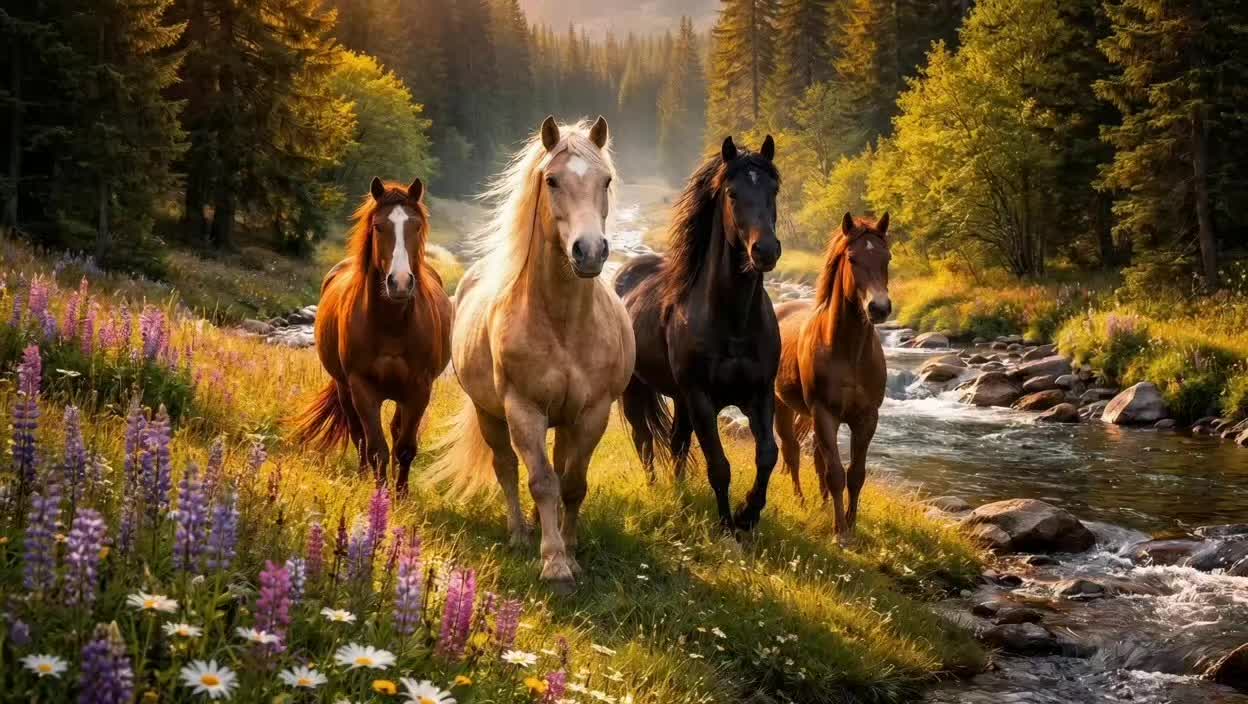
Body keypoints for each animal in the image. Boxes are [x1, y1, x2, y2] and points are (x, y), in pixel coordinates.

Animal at [294, 177, 452, 494]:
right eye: (379, 226)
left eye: (416, 226)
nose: (400, 283)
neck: (391, 325)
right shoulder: (361, 387)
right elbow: (375, 446)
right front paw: (380, 495)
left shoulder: (419, 389)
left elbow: (405, 447)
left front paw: (401, 495)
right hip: (344, 388)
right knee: (358, 435)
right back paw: (362, 475)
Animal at [427, 116, 635, 592]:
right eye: (552, 180)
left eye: (606, 180)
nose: (589, 251)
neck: (564, 324)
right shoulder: (524, 409)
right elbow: (541, 481)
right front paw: (554, 563)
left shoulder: (592, 413)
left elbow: (573, 483)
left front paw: (571, 551)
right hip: (489, 413)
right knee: (505, 467)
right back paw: (521, 533)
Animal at [615, 135, 783, 532]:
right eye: (733, 193)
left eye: (774, 190)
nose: (765, 250)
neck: (734, 322)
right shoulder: (701, 397)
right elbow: (719, 465)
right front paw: (726, 525)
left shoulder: (759, 393)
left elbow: (768, 455)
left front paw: (749, 514)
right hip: (637, 390)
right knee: (645, 441)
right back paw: (656, 490)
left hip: (680, 398)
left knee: (676, 443)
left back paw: (680, 493)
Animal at [773, 212, 891, 535]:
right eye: (852, 258)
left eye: (887, 257)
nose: (879, 308)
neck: (848, 352)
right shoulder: (825, 414)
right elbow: (836, 473)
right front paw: (840, 532)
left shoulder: (866, 418)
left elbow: (855, 474)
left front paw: (850, 523)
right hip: (782, 407)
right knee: (791, 452)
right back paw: (801, 500)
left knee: (816, 458)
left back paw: (823, 505)